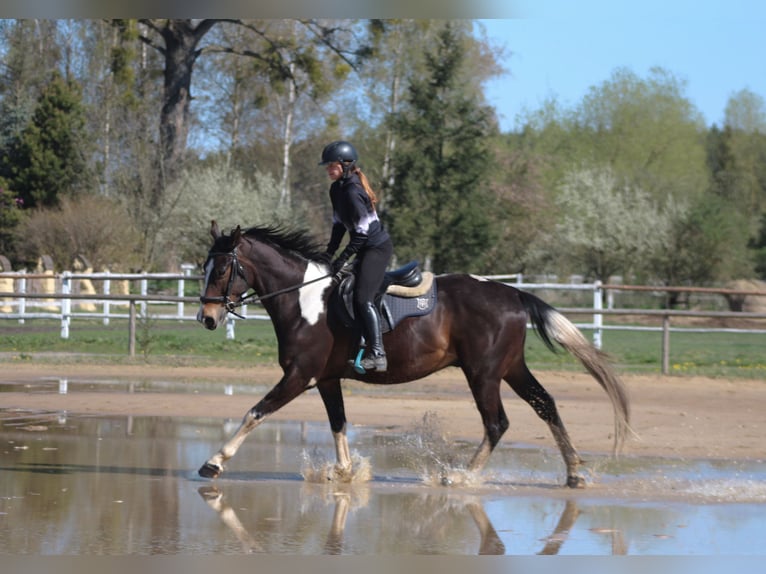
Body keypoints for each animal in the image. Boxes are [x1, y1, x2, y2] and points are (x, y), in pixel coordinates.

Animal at [196, 220, 632, 488]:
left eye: (222, 270)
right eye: (204, 268)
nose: (207, 318)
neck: (305, 301)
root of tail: (513, 293)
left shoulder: (300, 376)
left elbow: (255, 412)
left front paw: (214, 462)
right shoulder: (327, 379)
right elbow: (338, 423)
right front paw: (345, 472)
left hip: (483, 373)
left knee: (497, 423)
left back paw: (459, 477)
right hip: (511, 368)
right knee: (546, 405)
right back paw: (573, 472)